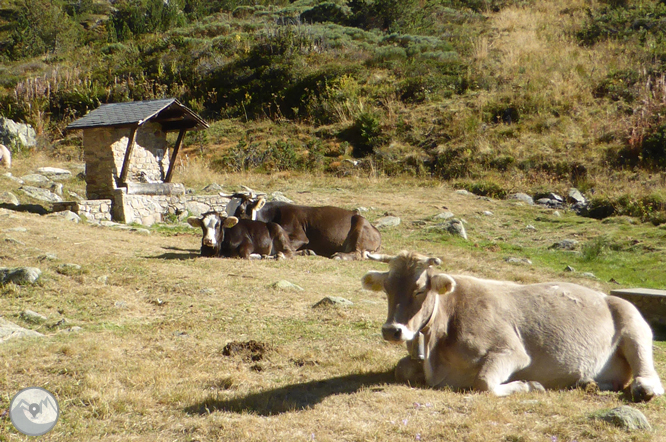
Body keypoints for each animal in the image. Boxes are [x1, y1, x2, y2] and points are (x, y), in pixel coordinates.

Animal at [228, 194, 378, 260]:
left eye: (241, 211)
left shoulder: (301, 237)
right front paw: (307, 251)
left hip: (359, 227)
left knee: (358, 253)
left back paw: (339, 255)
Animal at [360, 252, 660, 400]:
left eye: (420, 289)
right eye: (386, 287)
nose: (392, 330)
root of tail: (604, 295)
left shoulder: (512, 351)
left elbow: (483, 383)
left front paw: (530, 386)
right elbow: (401, 369)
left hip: (633, 322)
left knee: (647, 370)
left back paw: (644, 389)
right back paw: (588, 383)